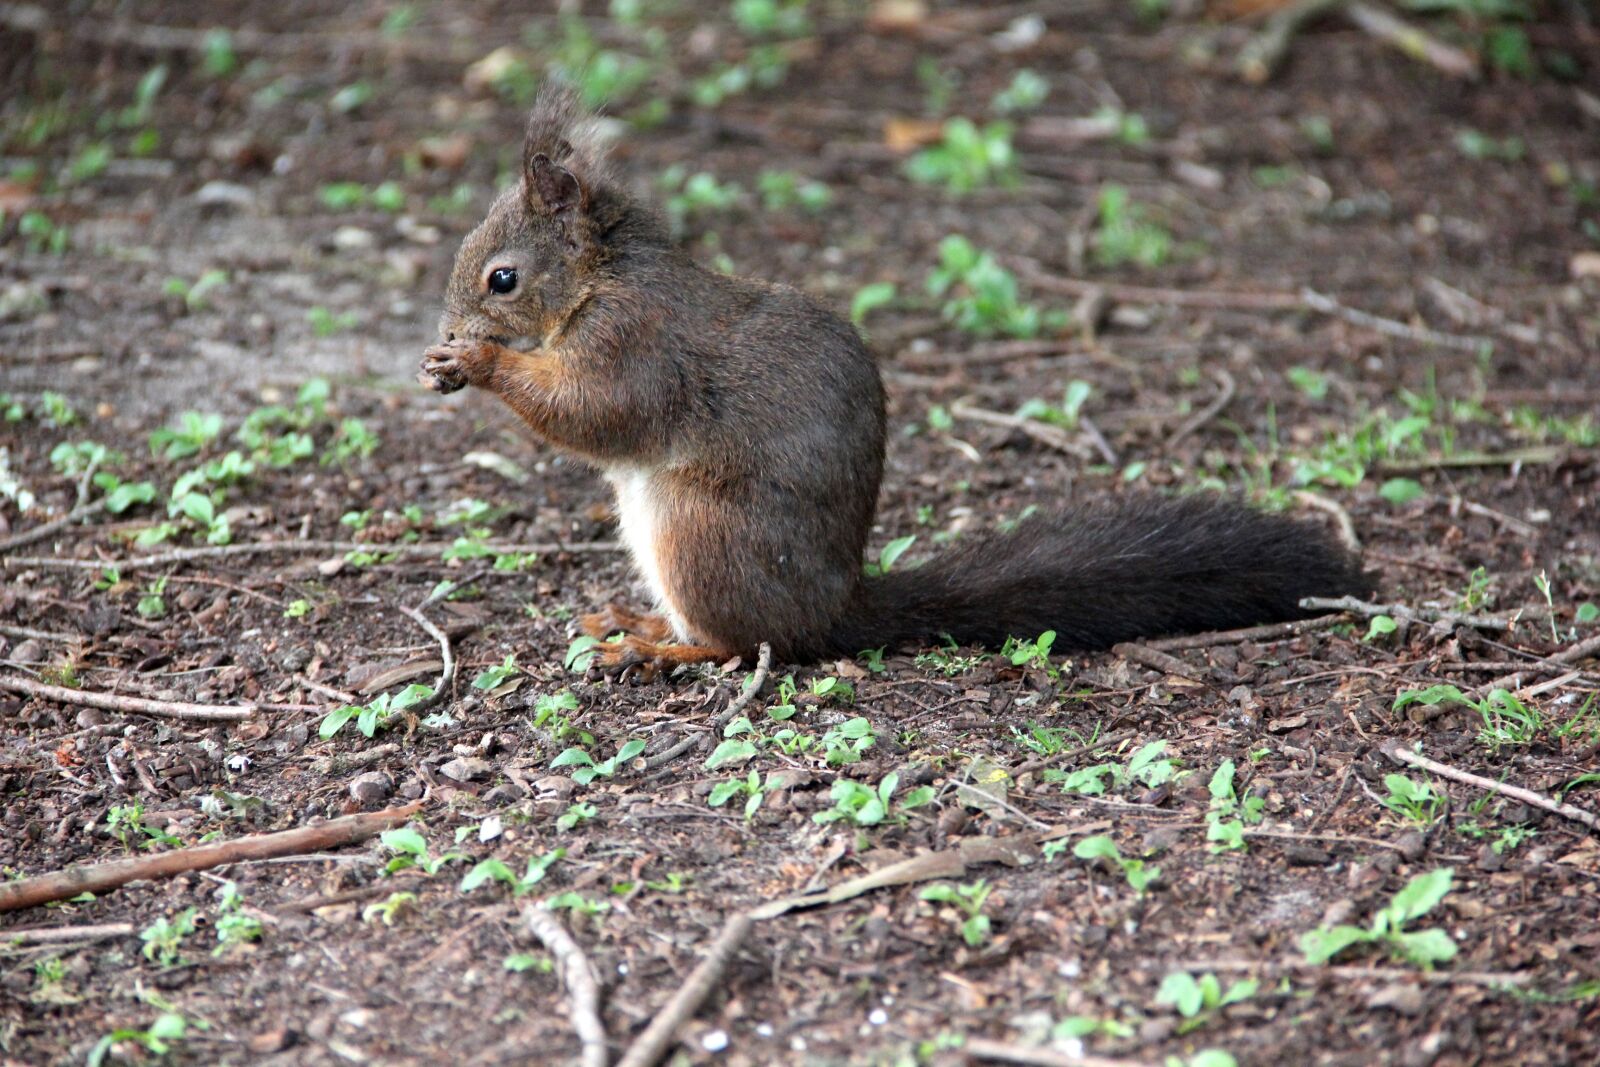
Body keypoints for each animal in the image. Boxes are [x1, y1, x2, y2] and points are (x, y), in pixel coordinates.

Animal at [418, 87, 1371, 676]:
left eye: (502, 279)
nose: (450, 327)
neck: (602, 278)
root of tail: (836, 608)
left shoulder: (636, 341)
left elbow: (597, 411)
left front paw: (480, 362)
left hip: (697, 534)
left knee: (746, 645)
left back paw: (663, 650)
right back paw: (640, 622)